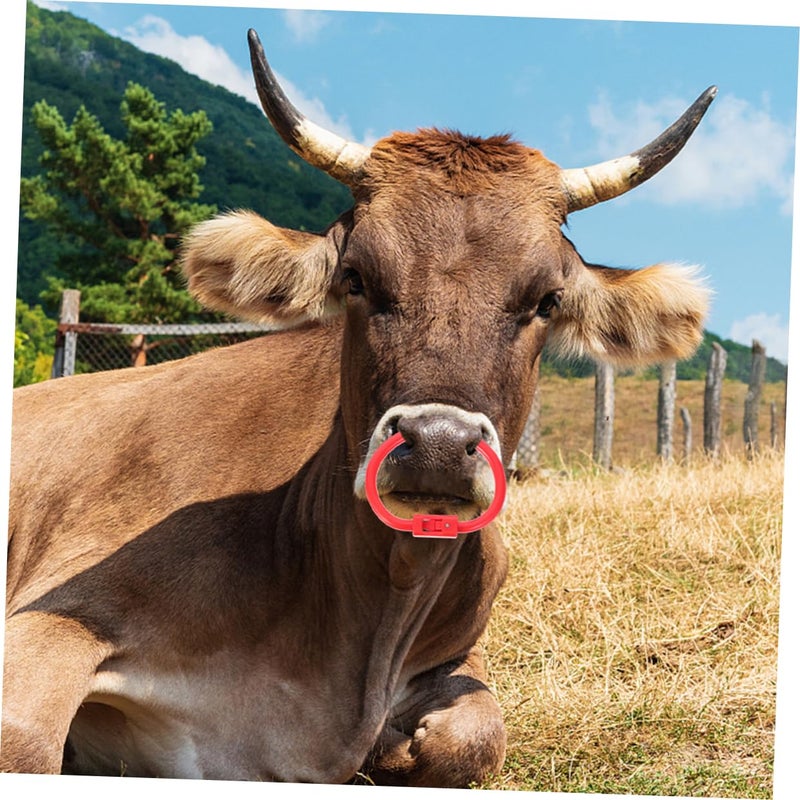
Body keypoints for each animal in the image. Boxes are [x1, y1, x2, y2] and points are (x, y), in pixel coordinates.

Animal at [2, 29, 713, 787]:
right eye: (356, 278)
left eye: (547, 300)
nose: (437, 443)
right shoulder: (62, 614)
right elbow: (25, 744)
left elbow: (476, 737)